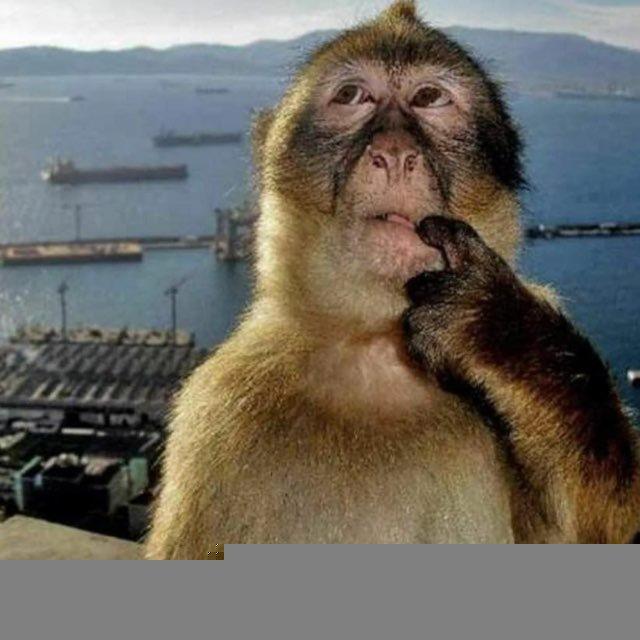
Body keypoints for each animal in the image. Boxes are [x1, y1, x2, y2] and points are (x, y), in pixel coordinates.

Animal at [146, 1, 640, 556]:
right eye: (352, 96)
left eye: (429, 98)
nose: (396, 153)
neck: (377, 349)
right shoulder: (216, 415)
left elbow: (599, 530)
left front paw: (495, 327)